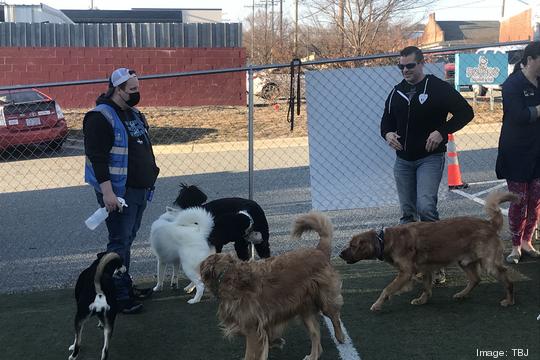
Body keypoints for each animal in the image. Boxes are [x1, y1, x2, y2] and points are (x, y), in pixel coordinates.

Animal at [199, 212, 346, 360]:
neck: (228, 274)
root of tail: (319, 250)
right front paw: (276, 342)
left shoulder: (252, 329)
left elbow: (250, 354)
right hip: (304, 308)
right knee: (315, 334)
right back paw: (313, 355)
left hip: (325, 300)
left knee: (335, 317)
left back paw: (340, 336)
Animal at [340, 191, 516, 312]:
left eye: (353, 246)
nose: (340, 254)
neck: (386, 240)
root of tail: (489, 224)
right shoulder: (424, 268)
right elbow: (426, 287)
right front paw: (422, 300)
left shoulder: (406, 272)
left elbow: (387, 289)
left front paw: (377, 304)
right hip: (464, 261)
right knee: (475, 279)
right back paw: (462, 294)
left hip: (489, 264)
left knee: (507, 278)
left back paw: (509, 300)